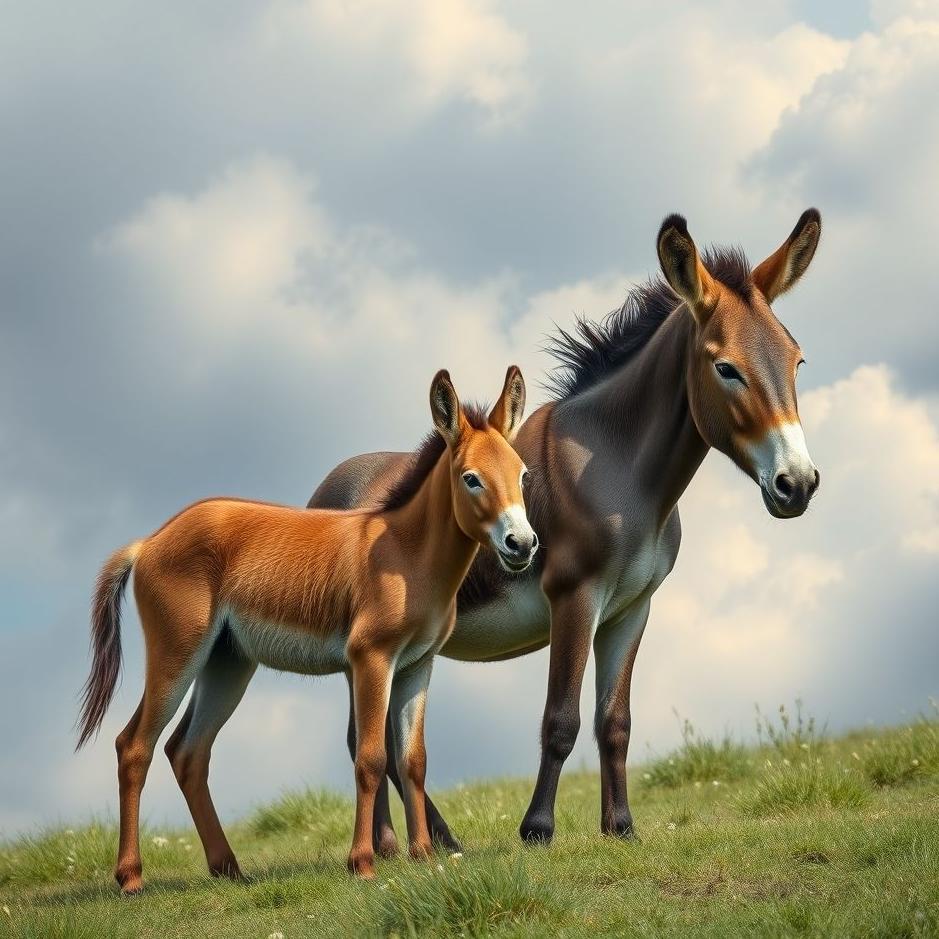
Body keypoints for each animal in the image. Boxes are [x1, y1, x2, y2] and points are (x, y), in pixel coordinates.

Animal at [76, 366, 537, 891]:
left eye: (523, 475)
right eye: (471, 479)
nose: (522, 545)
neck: (406, 552)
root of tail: (148, 541)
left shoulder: (418, 665)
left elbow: (414, 760)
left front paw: (422, 856)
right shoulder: (371, 659)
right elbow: (371, 758)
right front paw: (363, 863)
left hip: (227, 663)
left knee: (187, 752)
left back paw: (228, 869)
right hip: (177, 654)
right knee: (134, 746)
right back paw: (131, 878)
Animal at [308, 210, 823, 854]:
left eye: (796, 361)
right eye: (725, 368)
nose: (797, 485)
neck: (620, 468)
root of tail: (326, 488)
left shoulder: (632, 608)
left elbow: (614, 721)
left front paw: (620, 826)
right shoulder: (575, 597)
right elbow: (562, 720)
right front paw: (538, 829)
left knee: (368, 737)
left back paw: (409, 844)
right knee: (364, 738)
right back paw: (410, 845)